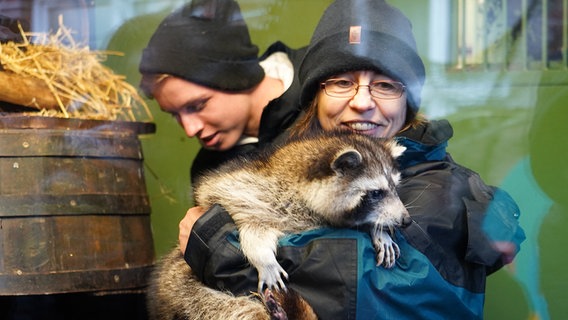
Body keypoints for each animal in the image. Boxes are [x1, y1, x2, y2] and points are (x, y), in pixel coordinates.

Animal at [149, 131, 410, 318]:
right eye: (376, 193)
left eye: (395, 188)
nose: (406, 220)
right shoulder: (248, 195)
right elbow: (253, 230)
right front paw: (263, 259)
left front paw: (379, 230)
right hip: (180, 283)